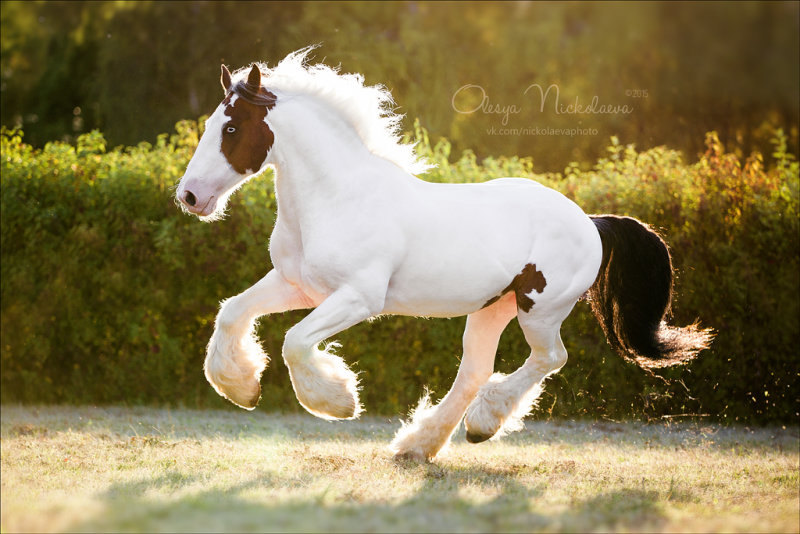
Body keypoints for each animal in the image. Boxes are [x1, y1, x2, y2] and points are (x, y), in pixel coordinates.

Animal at [177, 48, 712, 462]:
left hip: (539, 309)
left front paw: (339, 401)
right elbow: (231, 312)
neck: (338, 197)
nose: (189, 197)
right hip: (493, 308)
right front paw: (242, 388)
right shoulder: (297, 286)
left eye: (230, 128)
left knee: (549, 358)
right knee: (474, 372)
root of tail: (591, 222)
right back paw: (423, 445)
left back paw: (482, 423)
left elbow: (293, 342)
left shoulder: (358, 298)